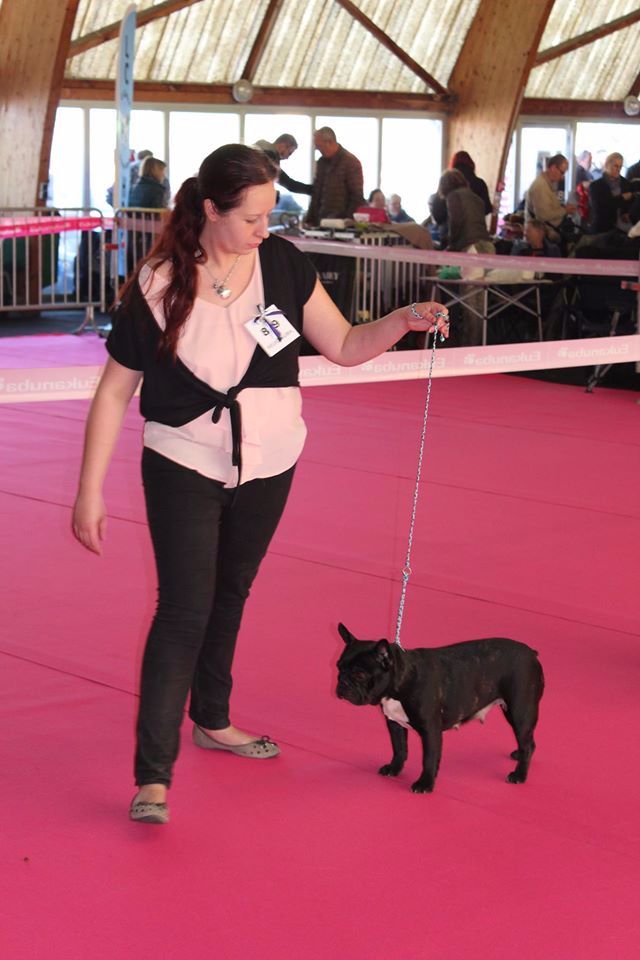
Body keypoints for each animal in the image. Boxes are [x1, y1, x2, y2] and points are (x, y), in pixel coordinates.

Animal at [336, 623, 544, 793]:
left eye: (360, 675)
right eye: (338, 668)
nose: (342, 683)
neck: (400, 682)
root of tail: (532, 653)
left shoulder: (431, 730)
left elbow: (429, 758)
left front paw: (425, 784)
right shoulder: (395, 724)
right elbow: (399, 748)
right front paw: (394, 769)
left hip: (519, 711)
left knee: (528, 743)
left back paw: (519, 775)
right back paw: (518, 755)